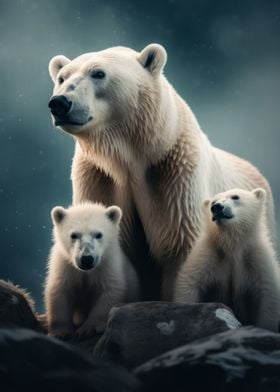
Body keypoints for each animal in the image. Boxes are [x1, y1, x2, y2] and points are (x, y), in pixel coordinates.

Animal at [48, 43, 276, 300]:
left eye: (98, 73)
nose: (60, 103)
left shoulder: (173, 175)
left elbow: (179, 243)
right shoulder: (99, 176)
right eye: (61, 77)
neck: (132, 157)